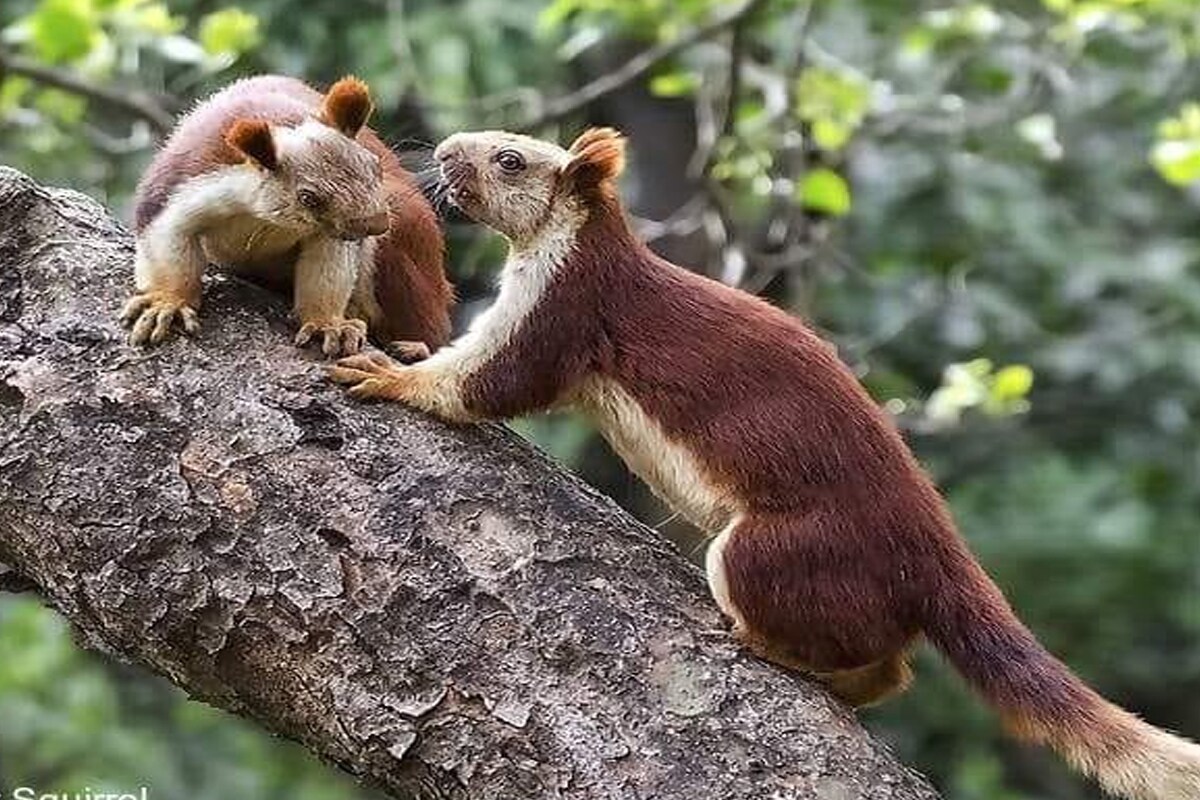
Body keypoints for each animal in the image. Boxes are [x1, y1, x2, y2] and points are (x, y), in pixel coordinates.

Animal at [121, 75, 451, 359]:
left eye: (375, 166)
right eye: (308, 197)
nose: (376, 225)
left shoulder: (334, 233)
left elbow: (327, 272)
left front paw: (327, 324)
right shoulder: (183, 184)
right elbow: (166, 238)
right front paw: (168, 303)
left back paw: (415, 347)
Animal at [328, 128, 1200, 796]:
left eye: (511, 159)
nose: (443, 149)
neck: (578, 241)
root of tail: (933, 549)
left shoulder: (565, 307)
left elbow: (490, 381)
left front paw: (388, 373)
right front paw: (402, 348)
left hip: (776, 550)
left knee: (859, 648)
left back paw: (762, 647)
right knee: (890, 666)